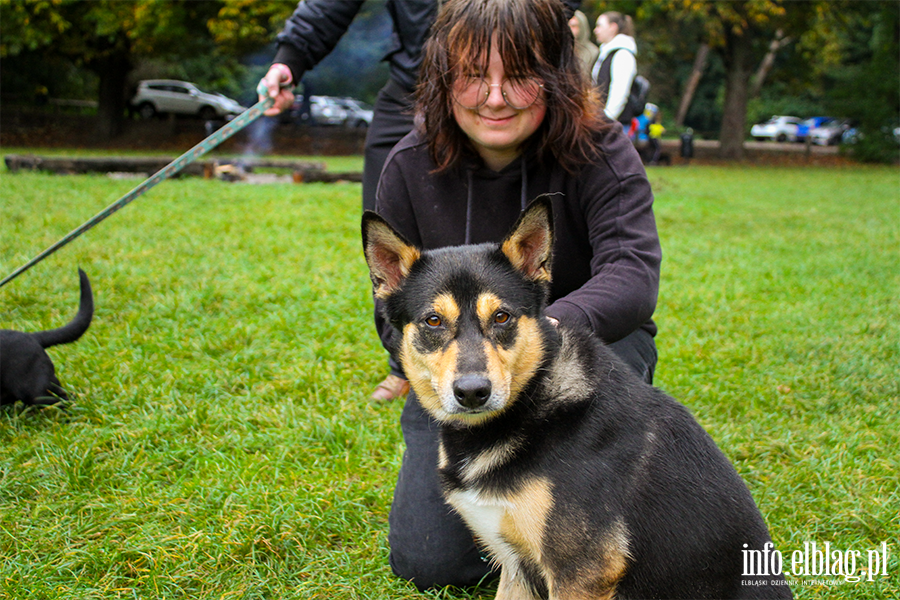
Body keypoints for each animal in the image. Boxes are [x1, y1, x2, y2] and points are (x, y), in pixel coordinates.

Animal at [362, 202, 792, 600]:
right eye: (433, 321)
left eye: (502, 317)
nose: (471, 392)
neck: (532, 401)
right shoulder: (516, 565)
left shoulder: (581, 571)